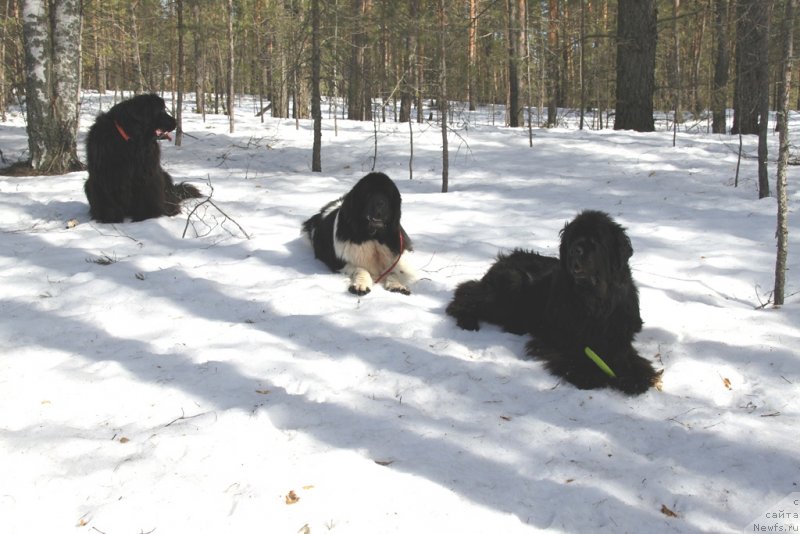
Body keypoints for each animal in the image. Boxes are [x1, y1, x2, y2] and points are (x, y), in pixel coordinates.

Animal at [83, 93, 202, 223]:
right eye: (160, 110)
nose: (175, 122)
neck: (131, 140)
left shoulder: (146, 174)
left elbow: (147, 195)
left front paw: (146, 217)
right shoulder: (105, 175)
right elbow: (108, 200)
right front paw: (110, 219)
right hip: (87, 185)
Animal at [446, 211, 660, 396]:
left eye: (596, 240)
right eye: (573, 238)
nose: (575, 250)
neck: (594, 299)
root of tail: (504, 258)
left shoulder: (618, 334)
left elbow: (626, 356)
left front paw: (635, 377)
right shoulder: (560, 337)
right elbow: (576, 353)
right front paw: (588, 374)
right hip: (511, 283)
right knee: (463, 294)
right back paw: (467, 321)